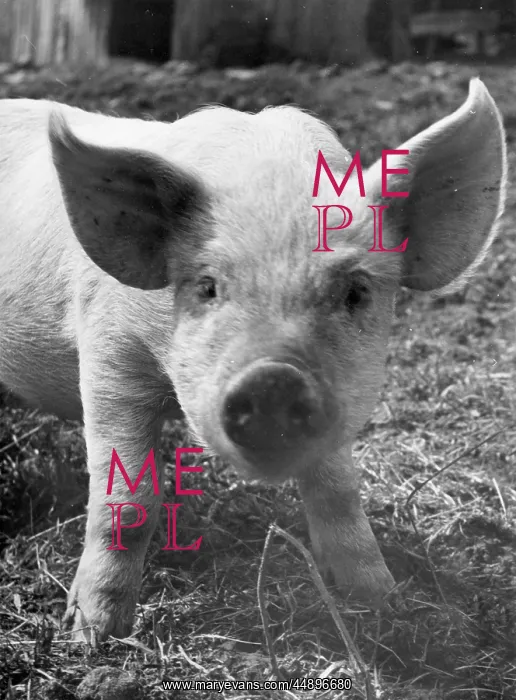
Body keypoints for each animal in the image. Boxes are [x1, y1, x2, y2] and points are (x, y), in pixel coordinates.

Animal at [0, 78, 506, 642]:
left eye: (356, 291)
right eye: (207, 286)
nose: (273, 379)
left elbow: (339, 491)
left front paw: (383, 602)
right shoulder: (110, 353)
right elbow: (128, 502)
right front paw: (94, 635)